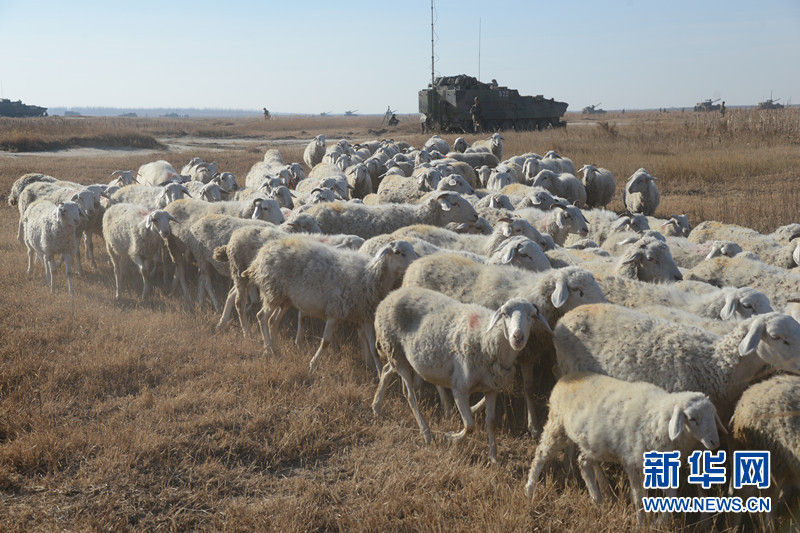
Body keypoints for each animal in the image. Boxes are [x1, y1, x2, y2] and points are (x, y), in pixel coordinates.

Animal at [244, 237, 418, 370]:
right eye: (398, 252)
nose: (415, 263)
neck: (368, 276)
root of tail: (262, 252)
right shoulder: (335, 312)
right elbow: (326, 341)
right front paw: (312, 364)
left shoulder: (365, 316)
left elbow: (372, 347)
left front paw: (378, 370)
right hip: (272, 292)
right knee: (262, 317)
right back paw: (268, 349)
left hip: (284, 298)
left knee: (273, 320)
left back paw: (275, 349)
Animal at [370, 284, 548, 460]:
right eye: (504, 314)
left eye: (532, 316)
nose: (517, 337)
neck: (486, 339)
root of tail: (389, 296)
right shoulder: (459, 388)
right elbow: (470, 425)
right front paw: (451, 438)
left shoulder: (491, 388)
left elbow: (491, 422)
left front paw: (493, 457)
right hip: (395, 349)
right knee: (408, 393)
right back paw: (426, 433)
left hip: (397, 356)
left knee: (386, 370)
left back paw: (376, 407)